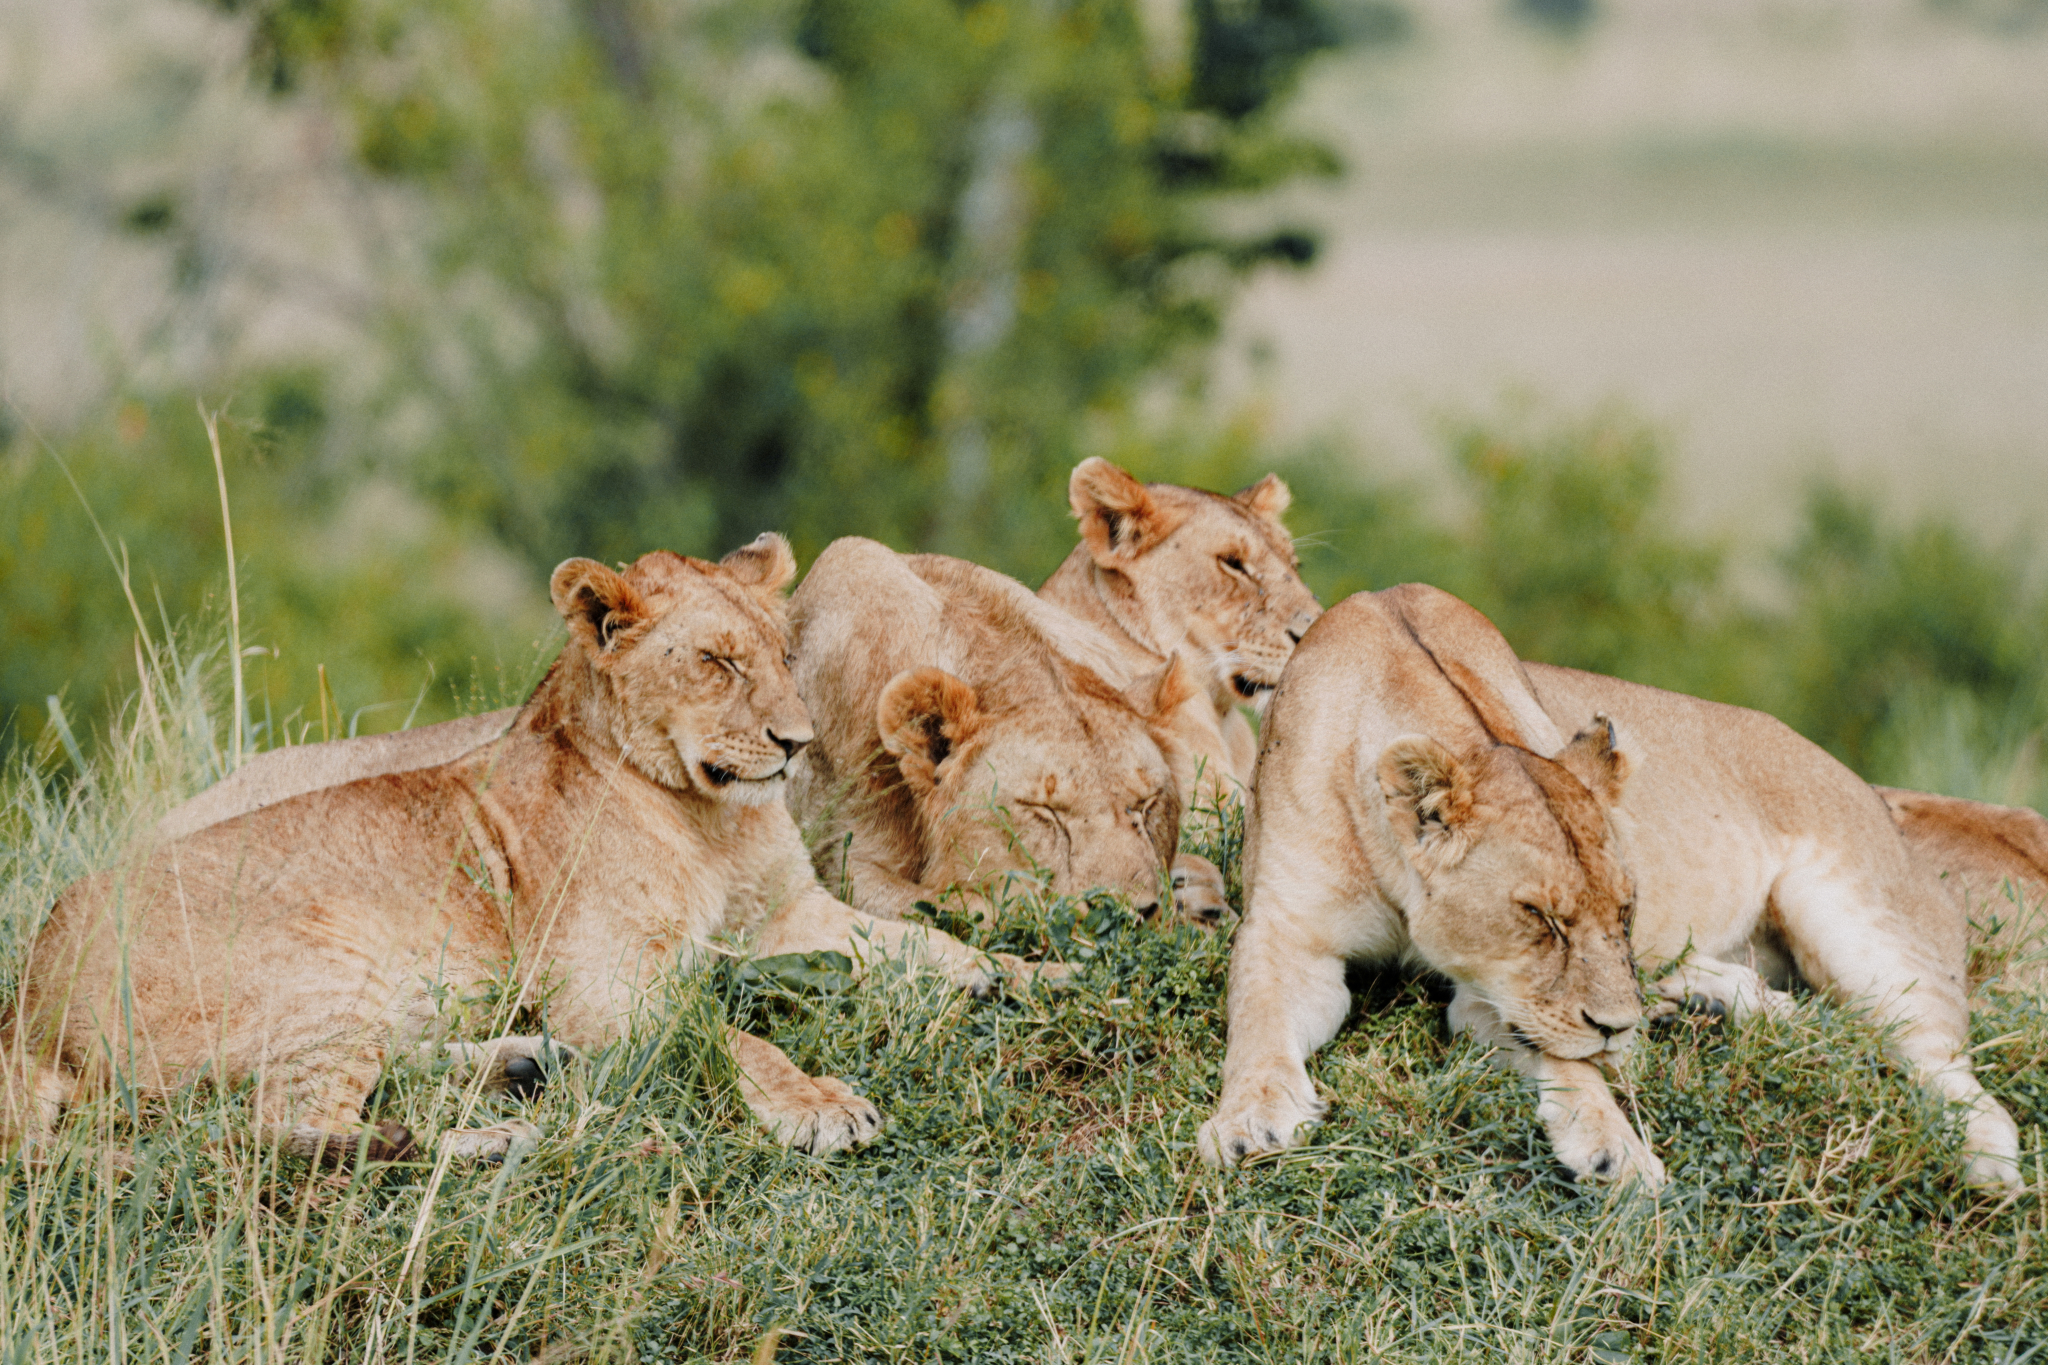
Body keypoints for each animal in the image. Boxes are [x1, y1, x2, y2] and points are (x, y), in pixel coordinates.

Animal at [0, 532, 1024, 1162]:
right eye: (716, 660)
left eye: (782, 652)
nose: (797, 742)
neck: (714, 819)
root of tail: (26, 996)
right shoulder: (606, 979)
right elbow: (729, 1031)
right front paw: (818, 1105)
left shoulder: (785, 911)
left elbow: (911, 940)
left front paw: (1011, 971)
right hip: (325, 961)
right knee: (275, 1126)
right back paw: (499, 1139)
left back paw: (531, 1066)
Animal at [1204, 589, 2023, 1195]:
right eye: (1540, 917)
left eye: (1624, 910)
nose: (1617, 1025)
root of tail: (1868, 789)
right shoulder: (1288, 935)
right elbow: (1259, 1023)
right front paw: (1248, 1122)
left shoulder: (1500, 993)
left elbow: (1566, 1056)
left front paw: (1612, 1147)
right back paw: (1703, 1004)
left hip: (1858, 922)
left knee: (1943, 1060)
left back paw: (1986, 1160)